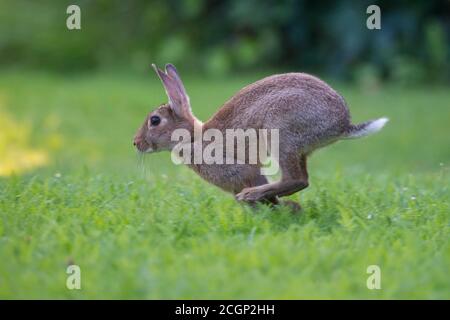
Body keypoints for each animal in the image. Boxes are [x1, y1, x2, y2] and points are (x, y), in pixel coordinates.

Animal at [133, 64, 386, 210]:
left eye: (154, 120)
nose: (135, 143)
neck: (193, 138)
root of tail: (342, 124)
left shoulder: (243, 168)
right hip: (299, 148)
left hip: (281, 132)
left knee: (297, 179)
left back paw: (250, 195)